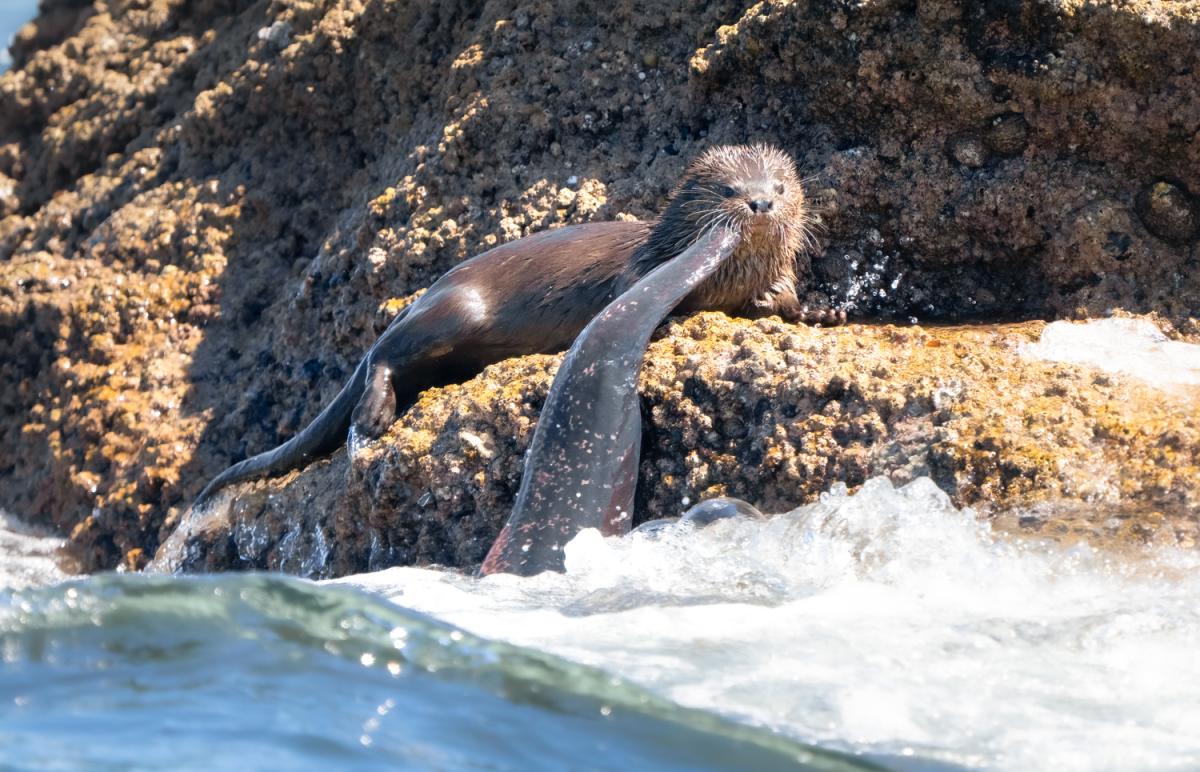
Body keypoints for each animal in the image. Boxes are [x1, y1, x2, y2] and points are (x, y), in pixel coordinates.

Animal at [193, 144, 831, 508]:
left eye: (779, 186)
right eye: (729, 190)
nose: (759, 204)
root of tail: (417, 299)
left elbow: (782, 298)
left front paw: (809, 308)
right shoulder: (637, 272)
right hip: (456, 310)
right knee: (381, 356)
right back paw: (373, 415)